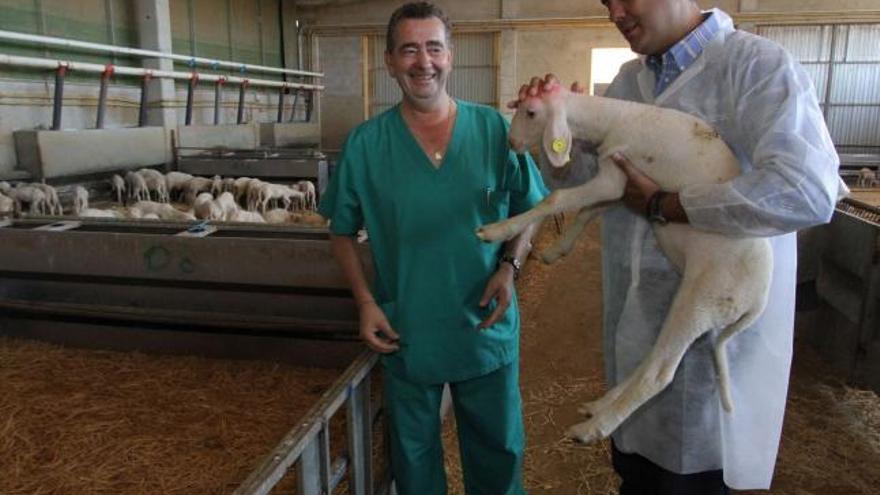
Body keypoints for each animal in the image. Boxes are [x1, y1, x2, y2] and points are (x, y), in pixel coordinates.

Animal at [478, 85, 772, 446]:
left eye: (531, 112)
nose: (513, 142)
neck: (614, 119)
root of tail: (758, 300)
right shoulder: (620, 188)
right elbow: (588, 211)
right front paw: (557, 250)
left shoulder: (616, 178)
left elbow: (556, 199)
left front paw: (497, 230)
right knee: (652, 357)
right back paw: (600, 405)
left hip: (704, 299)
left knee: (660, 373)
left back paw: (594, 428)